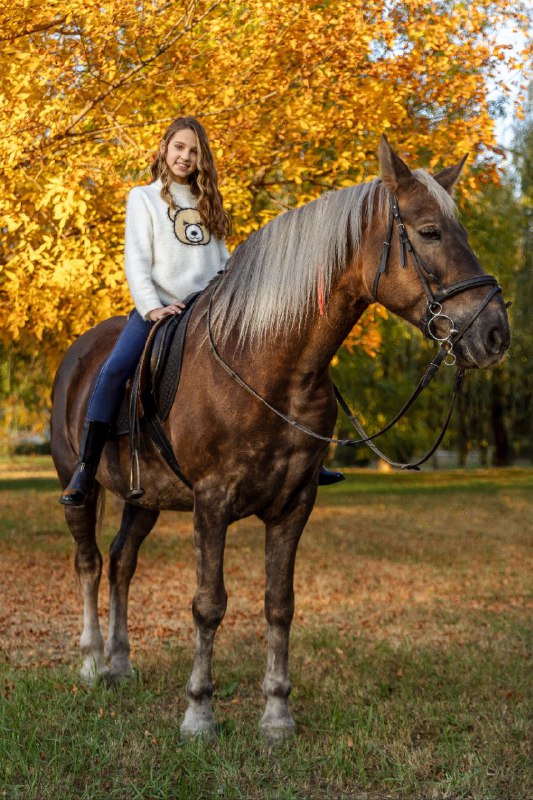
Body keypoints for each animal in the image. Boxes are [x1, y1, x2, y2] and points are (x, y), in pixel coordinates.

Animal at [51, 136, 512, 736]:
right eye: (430, 232)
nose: (495, 332)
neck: (268, 360)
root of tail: (79, 354)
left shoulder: (295, 504)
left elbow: (279, 603)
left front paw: (276, 715)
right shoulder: (211, 502)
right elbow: (208, 604)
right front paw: (199, 713)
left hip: (144, 499)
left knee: (122, 562)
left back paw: (121, 664)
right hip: (77, 483)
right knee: (88, 562)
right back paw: (91, 664)